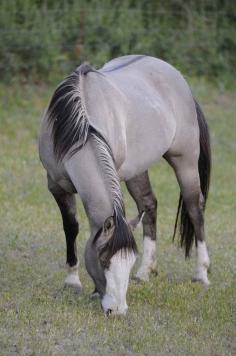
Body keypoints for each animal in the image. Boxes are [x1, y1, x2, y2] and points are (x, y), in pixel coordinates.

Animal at [38, 54, 210, 316]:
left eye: (128, 262)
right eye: (104, 260)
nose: (117, 310)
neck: (80, 127)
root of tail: (179, 79)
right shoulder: (57, 186)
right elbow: (71, 227)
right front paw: (72, 281)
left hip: (185, 161)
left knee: (194, 208)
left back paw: (201, 274)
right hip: (137, 170)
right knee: (149, 205)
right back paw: (146, 272)